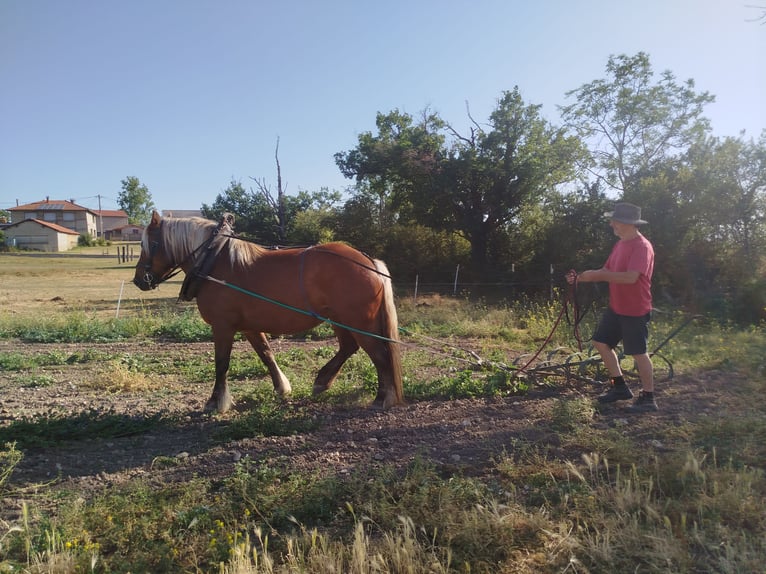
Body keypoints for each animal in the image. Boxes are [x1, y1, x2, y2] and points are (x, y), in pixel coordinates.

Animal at [132, 211, 404, 412]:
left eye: (150, 244)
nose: (138, 280)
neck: (214, 261)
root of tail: (368, 261)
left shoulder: (222, 326)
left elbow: (221, 363)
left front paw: (215, 401)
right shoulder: (249, 327)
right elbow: (266, 354)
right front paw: (281, 388)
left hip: (359, 321)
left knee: (379, 354)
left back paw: (381, 398)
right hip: (340, 319)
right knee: (349, 347)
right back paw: (322, 381)